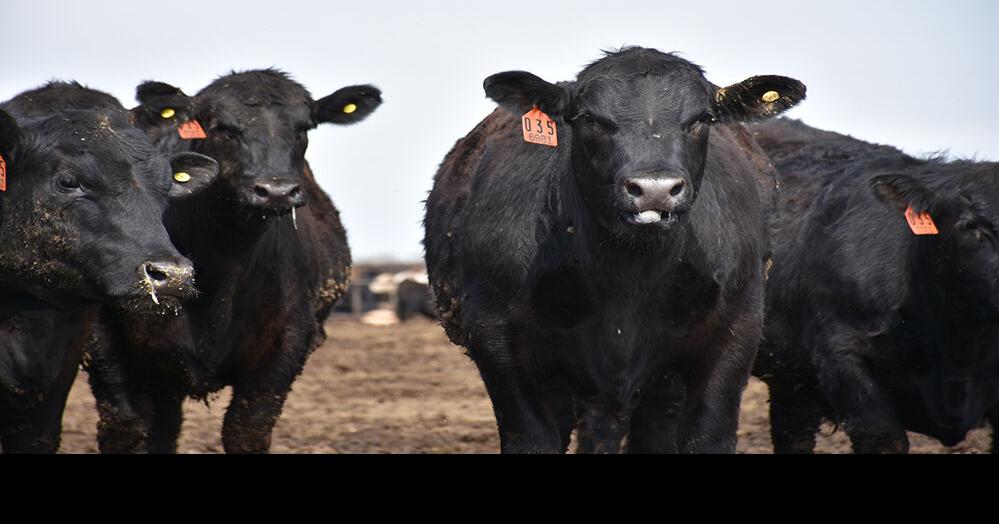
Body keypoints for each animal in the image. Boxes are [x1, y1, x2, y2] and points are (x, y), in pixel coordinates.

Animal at [86, 69, 381, 453]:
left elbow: (247, 430)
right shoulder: (106, 341)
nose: (276, 191)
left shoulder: (285, 345)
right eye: (223, 128)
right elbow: (125, 427)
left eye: (303, 128)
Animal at [424, 47, 806, 453]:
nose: (655, 188)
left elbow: (708, 434)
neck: (626, 280)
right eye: (588, 118)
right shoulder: (497, 337)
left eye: (703, 118)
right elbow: (532, 436)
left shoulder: (736, 330)